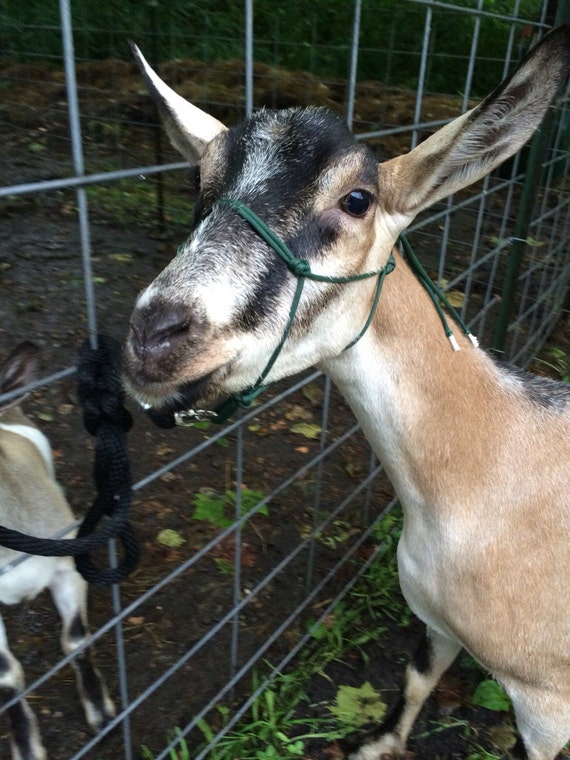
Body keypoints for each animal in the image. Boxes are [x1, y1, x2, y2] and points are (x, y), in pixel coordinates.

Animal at [122, 25, 570, 760]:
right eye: (200, 182)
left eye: (356, 199)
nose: (153, 335)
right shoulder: (436, 620)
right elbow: (416, 679)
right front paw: (377, 746)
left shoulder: (545, 707)